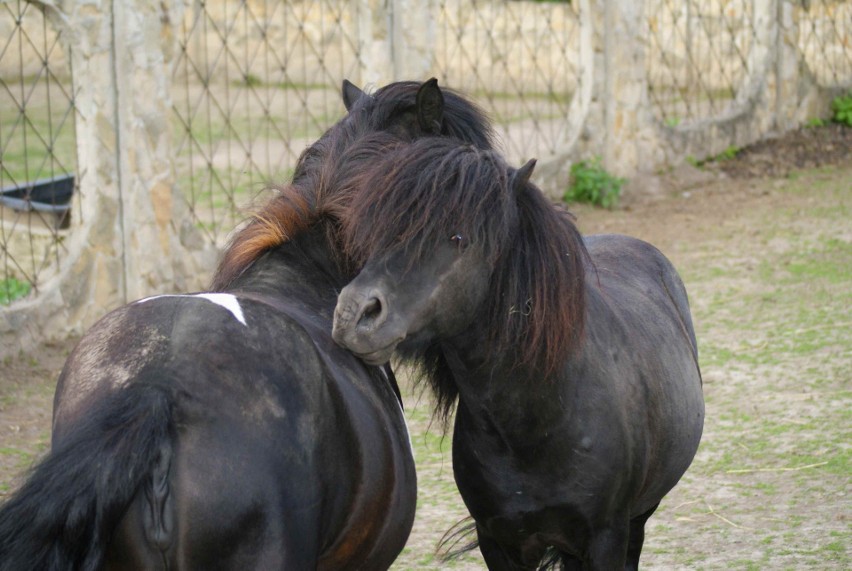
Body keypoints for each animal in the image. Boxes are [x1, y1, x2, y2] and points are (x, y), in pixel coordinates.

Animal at [330, 140, 704, 571]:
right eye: (380, 231)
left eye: (458, 237)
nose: (353, 314)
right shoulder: (498, 540)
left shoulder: (606, 537)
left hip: (638, 519)